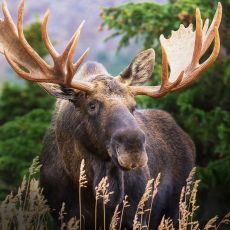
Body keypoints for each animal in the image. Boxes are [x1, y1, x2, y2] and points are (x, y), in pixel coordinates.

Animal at [0, 0, 222, 228]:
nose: (133, 147)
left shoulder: (134, 214)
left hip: (179, 205)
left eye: (133, 106)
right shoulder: (63, 215)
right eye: (92, 105)